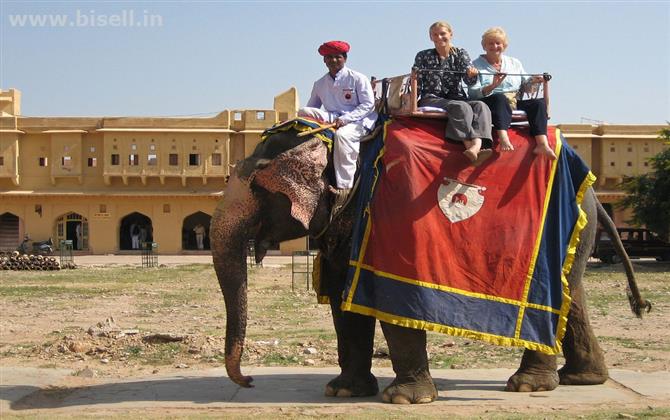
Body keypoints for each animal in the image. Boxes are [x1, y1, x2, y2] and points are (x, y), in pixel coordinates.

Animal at [211, 123, 652, 406]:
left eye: (257, 189)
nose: (248, 381)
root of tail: (594, 193)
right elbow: (343, 305)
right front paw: (343, 391)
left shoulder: (395, 220)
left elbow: (393, 300)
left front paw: (405, 400)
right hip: (576, 235)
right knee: (572, 298)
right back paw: (581, 379)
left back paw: (528, 387)